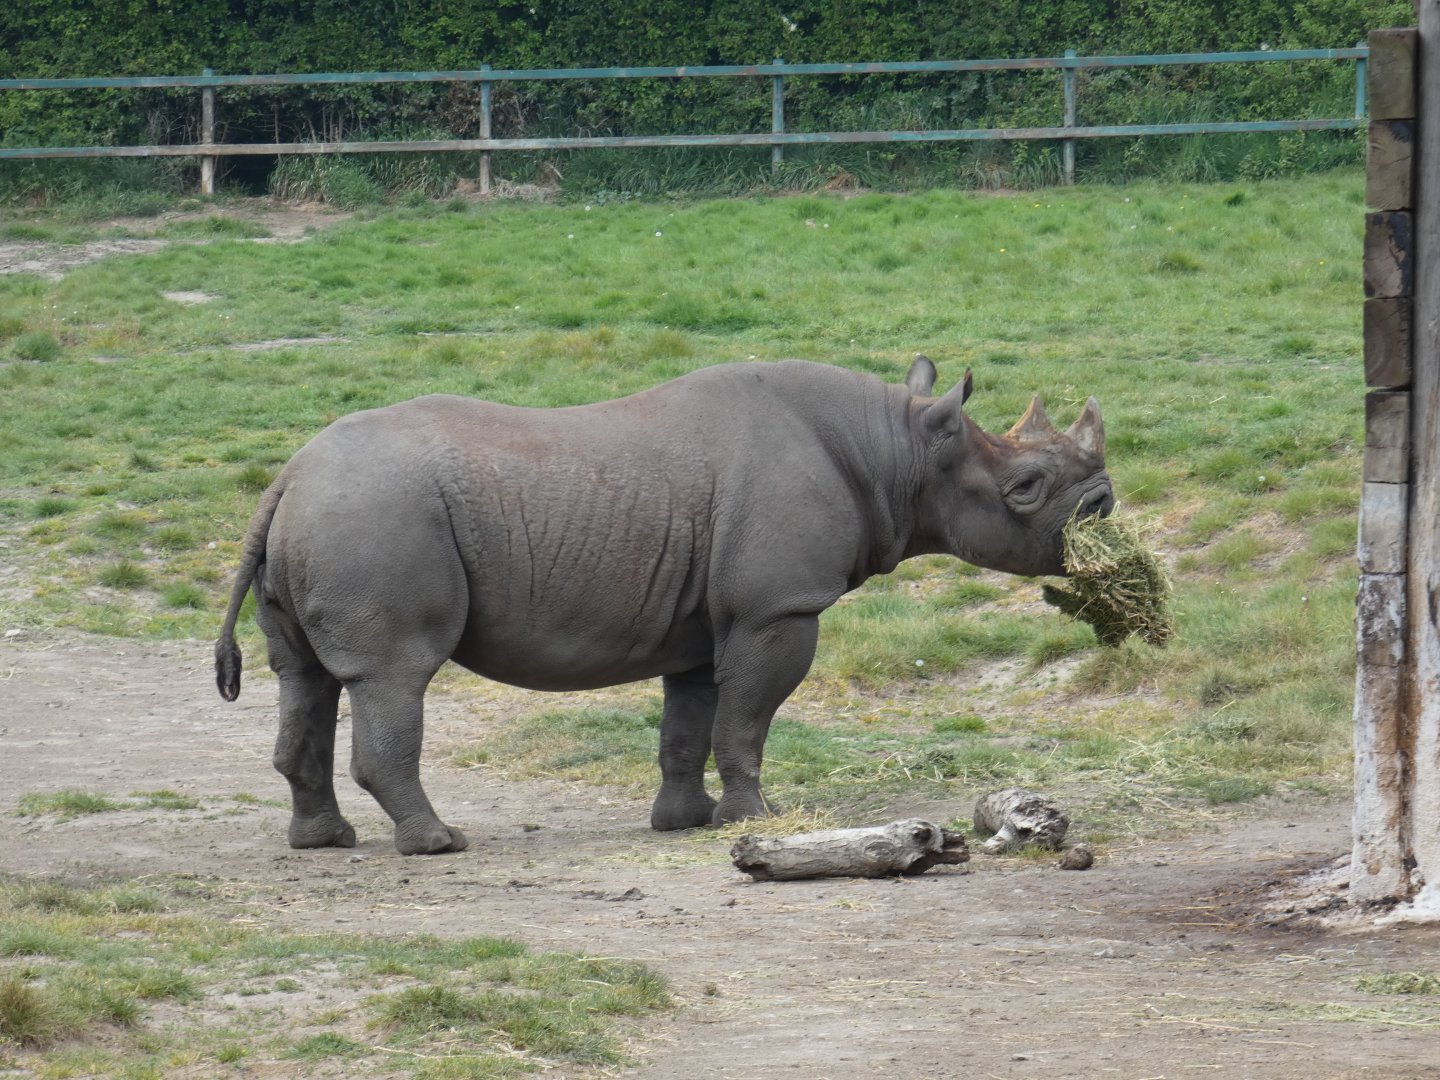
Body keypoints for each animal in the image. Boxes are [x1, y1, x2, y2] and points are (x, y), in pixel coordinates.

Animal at [215, 357, 1112, 855]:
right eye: (1026, 488)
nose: (1104, 507)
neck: (896, 449)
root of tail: (285, 477)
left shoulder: (707, 623)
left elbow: (688, 723)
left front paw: (686, 821)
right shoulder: (779, 609)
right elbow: (745, 722)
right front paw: (757, 818)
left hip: (331, 516)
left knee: (303, 679)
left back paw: (324, 842)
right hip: (373, 517)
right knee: (394, 675)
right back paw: (439, 845)